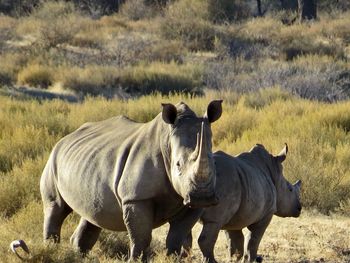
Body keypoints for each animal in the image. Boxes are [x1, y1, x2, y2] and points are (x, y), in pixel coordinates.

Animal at [40, 100, 221, 262]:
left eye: (213, 162)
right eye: (178, 164)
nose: (202, 197)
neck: (167, 143)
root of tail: (64, 139)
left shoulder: (189, 203)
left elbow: (176, 237)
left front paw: (172, 259)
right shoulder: (135, 198)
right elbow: (141, 237)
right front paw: (136, 259)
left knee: (92, 215)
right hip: (52, 160)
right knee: (55, 207)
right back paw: (51, 251)